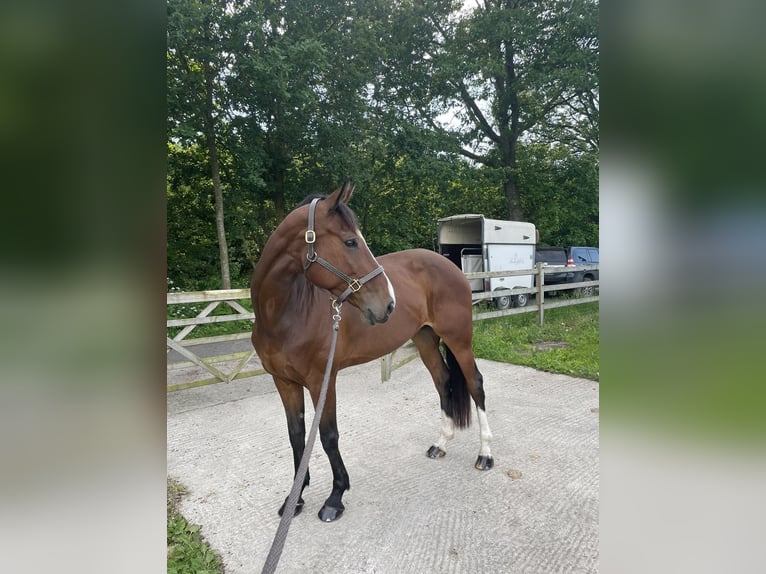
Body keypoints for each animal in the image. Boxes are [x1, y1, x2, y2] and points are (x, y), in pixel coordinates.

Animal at [249, 180, 496, 528]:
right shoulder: (284, 382)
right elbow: (296, 436)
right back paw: (440, 443)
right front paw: (294, 499)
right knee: (443, 381)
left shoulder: (322, 380)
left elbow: (328, 435)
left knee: (475, 385)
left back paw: (485, 454)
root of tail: (450, 265)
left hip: (459, 340)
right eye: (350, 241)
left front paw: (335, 498)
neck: (288, 313)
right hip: (424, 339)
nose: (388, 303)